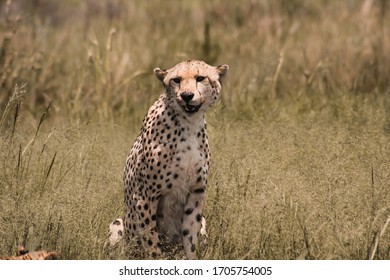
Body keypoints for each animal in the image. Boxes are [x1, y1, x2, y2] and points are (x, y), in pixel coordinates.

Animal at [113, 60, 229, 260]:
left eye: (200, 78)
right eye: (176, 80)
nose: (187, 95)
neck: (189, 124)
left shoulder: (195, 193)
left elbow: (190, 238)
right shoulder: (144, 197)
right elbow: (151, 240)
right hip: (119, 225)